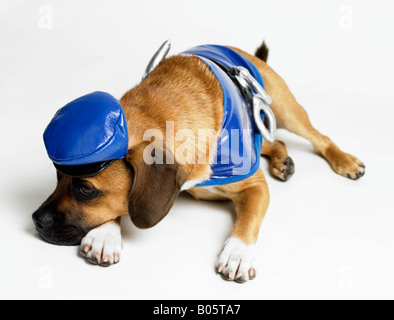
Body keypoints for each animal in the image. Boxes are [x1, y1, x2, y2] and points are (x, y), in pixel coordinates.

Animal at [32, 42, 364, 282]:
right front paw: (105, 234)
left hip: (287, 111)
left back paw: (345, 161)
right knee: (274, 142)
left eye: (86, 190)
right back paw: (282, 160)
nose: (36, 219)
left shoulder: (256, 187)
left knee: (318, 137)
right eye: (58, 177)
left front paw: (238, 252)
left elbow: (249, 218)